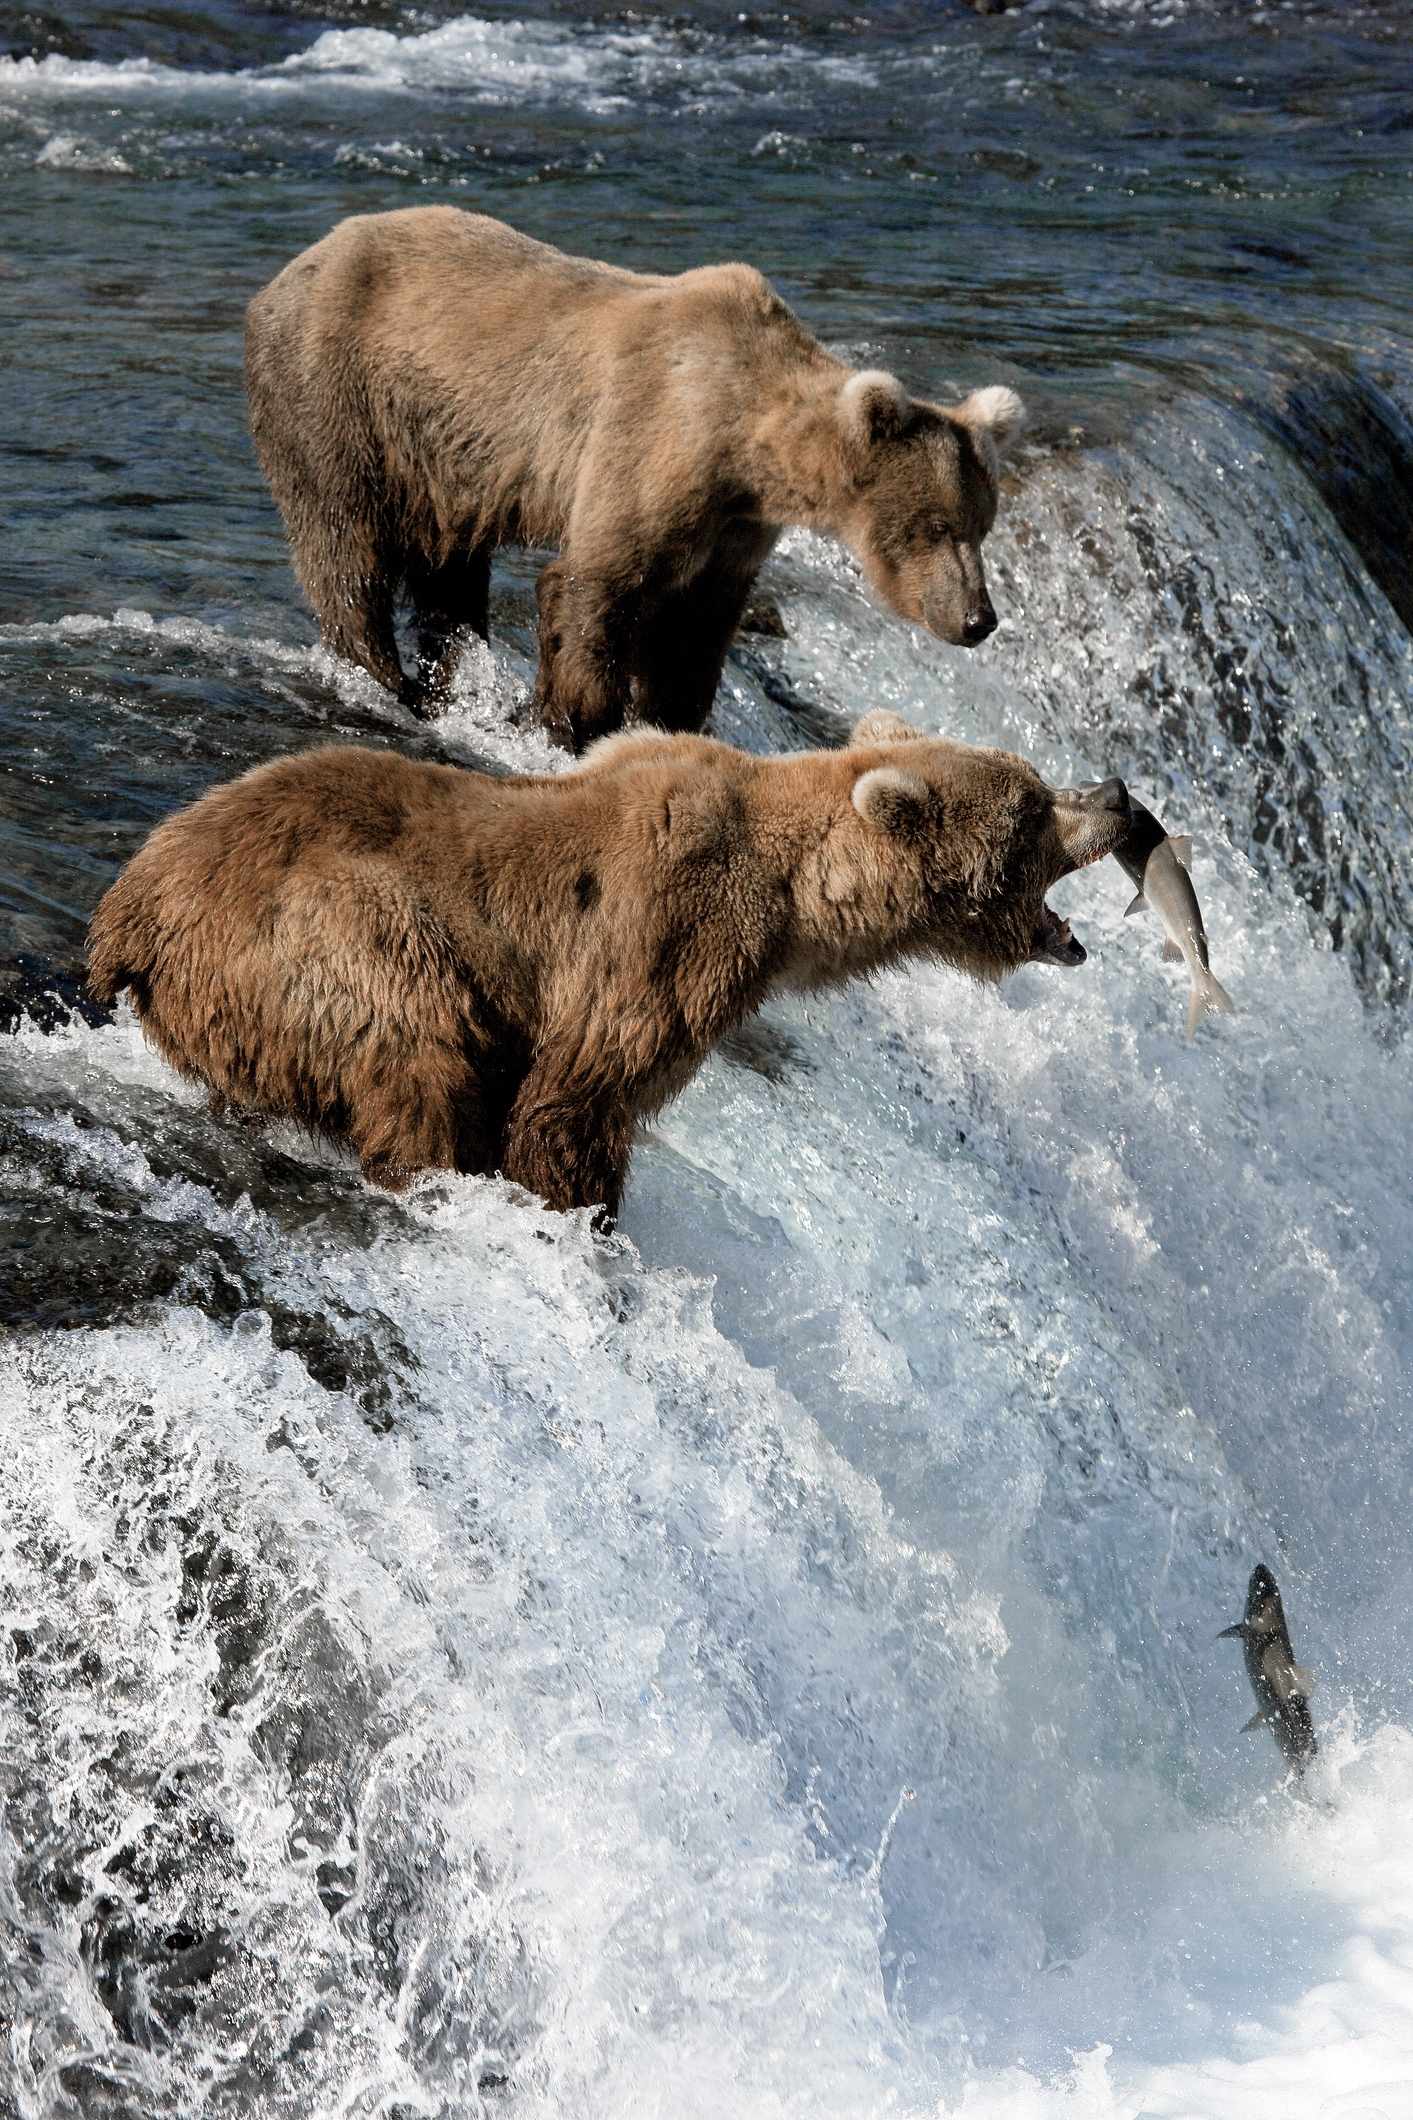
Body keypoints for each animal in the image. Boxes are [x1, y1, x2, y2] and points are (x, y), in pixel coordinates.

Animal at [86, 715, 1128, 1224]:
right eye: (1032, 806)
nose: (1115, 792)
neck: (795, 895)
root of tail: (127, 911)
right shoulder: (668, 936)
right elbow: (577, 1098)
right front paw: (581, 1209)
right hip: (323, 933)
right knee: (418, 1055)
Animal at [245, 207, 1025, 749]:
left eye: (982, 527)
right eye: (933, 526)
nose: (977, 619)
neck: (742, 438)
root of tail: (290, 267)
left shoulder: (732, 526)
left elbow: (696, 630)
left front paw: (666, 718)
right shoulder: (648, 440)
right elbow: (593, 586)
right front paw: (573, 721)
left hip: (446, 461)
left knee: (450, 570)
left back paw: (449, 681)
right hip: (335, 393)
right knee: (345, 546)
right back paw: (386, 679)